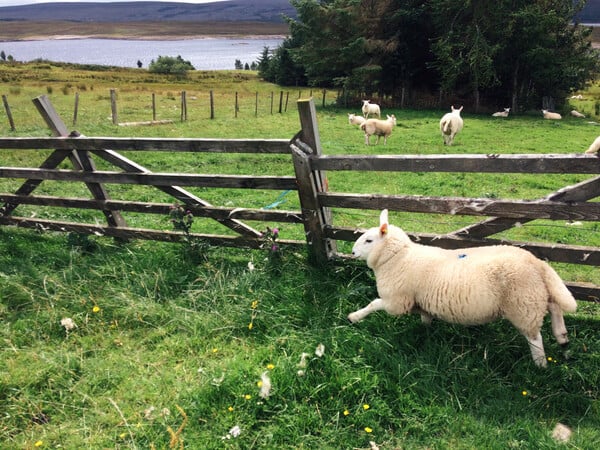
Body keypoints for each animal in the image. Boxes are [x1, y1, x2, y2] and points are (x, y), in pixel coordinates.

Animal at [350, 209, 580, 368]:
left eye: (368, 240)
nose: (352, 252)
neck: (398, 257)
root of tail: (537, 263)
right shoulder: (418, 301)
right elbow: (425, 317)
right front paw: (426, 330)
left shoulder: (397, 301)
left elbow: (374, 303)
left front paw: (354, 317)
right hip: (534, 293)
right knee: (554, 305)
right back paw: (562, 338)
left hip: (522, 304)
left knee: (535, 337)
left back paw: (540, 363)